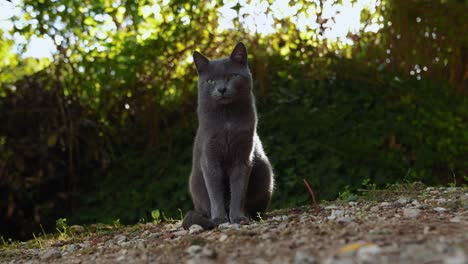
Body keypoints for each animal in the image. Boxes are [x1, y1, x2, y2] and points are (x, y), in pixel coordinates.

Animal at [180, 42, 274, 230]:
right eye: (210, 81)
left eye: (231, 76)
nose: (221, 89)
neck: (227, 120)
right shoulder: (210, 158)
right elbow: (215, 192)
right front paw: (220, 219)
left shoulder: (243, 157)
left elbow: (238, 190)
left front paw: (238, 217)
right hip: (195, 182)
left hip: (265, 173)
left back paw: (251, 216)